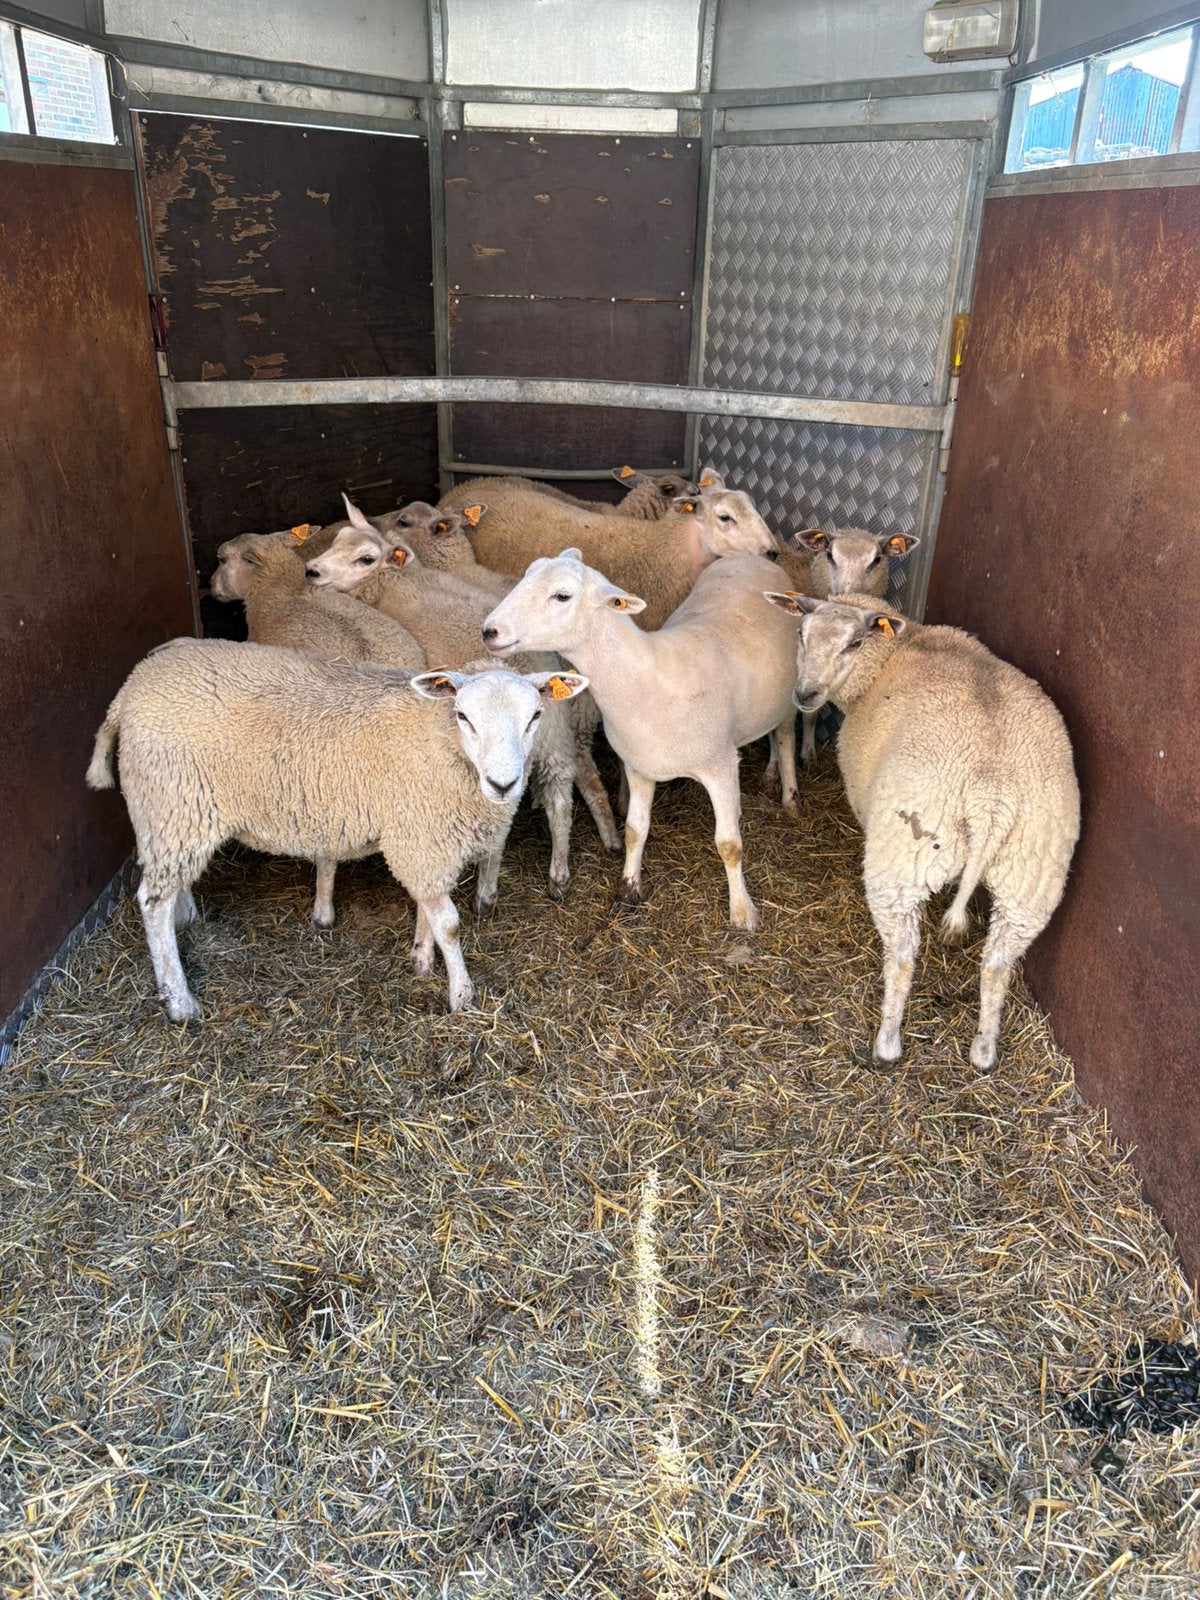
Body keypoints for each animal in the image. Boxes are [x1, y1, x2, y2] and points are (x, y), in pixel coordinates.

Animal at [86, 639, 587, 1019]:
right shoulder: (421, 835)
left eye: (535, 717)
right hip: (171, 800)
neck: (442, 742)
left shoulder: (420, 836)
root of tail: (129, 690)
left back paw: (186, 916)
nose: (504, 784)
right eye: (463, 716)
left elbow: (426, 908)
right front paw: (461, 994)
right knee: (152, 901)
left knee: (171, 882)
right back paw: (180, 1001)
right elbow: (448, 923)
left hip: (175, 811)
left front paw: (421, 958)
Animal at [305, 516, 623, 895]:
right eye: (337, 539)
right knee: (570, 793)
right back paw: (576, 862)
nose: (311, 570)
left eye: (365, 559)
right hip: (561, 736)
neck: (397, 582)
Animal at [481, 549, 802, 931]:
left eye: (562, 596)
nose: (489, 630)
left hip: (789, 695)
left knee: (784, 736)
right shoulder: (639, 767)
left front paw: (742, 913)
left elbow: (728, 844)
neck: (649, 678)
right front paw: (629, 887)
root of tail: (751, 557)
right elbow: (635, 829)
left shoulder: (720, 767)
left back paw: (790, 797)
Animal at [762, 592, 1080, 1070]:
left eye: (855, 643)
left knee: (902, 954)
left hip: (905, 857)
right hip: (1033, 874)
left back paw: (888, 1041)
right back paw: (983, 1050)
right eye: (801, 633)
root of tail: (993, 797)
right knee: (997, 962)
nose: (805, 694)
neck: (898, 650)